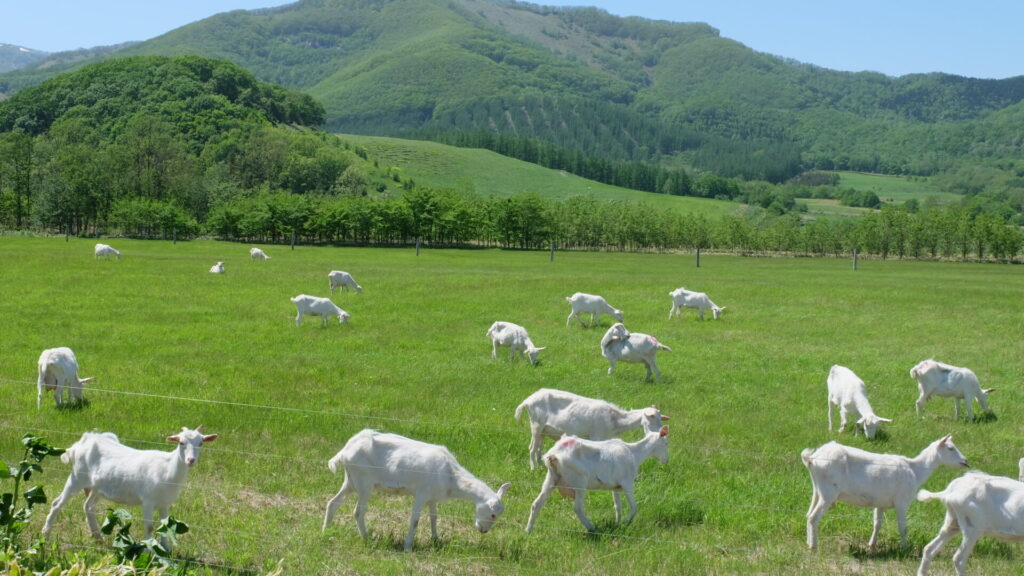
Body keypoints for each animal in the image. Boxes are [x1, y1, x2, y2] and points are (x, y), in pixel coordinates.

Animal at [41, 426, 218, 550]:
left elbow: (165, 525)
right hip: (77, 477)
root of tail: (81, 443)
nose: (191, 460)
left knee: (88, 506)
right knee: (57, 503)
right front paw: (148, 549)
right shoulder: (147, 502)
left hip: (97, 487)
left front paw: (166, 548)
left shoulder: (164, 503)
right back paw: (46, 532)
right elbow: (149, 526)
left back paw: (98, 537)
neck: (167, 469)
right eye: (181, 443)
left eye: (201, 443)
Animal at [322, 429, 511, 551]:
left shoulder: (433, 497)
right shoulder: (421, 494)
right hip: (364, 483)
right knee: (358, 512)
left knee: (333, 503)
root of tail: (345, 451)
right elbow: (415, 520)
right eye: (493, 514)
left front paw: (436, 540)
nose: (483, 531)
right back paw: (368, 539)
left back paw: (325, 532)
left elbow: (434, 517)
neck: (451, 477)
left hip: (350, 481)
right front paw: (408, 547)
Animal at [515, 388, 669, 470]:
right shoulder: (596, 436)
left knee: (538, 447)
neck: (615, 420)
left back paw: (541, 465)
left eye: (661, 418)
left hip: (543, 429)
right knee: (532, 448)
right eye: (652, 417)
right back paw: (533, 468)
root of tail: (527, 401)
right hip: (536, 425)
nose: (661, 432)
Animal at [525, 426, 669, 533]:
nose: (666, 460)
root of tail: (553, 455)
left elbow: (618, 507)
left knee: (536, 503)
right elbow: (634, 507)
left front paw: (617, 524)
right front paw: (626, 523)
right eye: (666, 443)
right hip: (579, 481)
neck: (634, 453)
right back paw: (592, 528)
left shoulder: (615, 487)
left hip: (551, 478)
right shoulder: (627, 483)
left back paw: (528, 531)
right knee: (577, 508)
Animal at [801, 434, 968, 551]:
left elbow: (877, 524)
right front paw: (905, 549)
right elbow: (903, 527)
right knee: (814, 517)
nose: (965, 461)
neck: (915, 470)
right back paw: (814, 547)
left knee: (808, 515)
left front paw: (871, 545)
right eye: (951, 448)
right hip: (828, 493)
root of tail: (812, 458)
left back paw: (808, 543)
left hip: (817, 490)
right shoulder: (902, 502)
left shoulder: (880, 503)